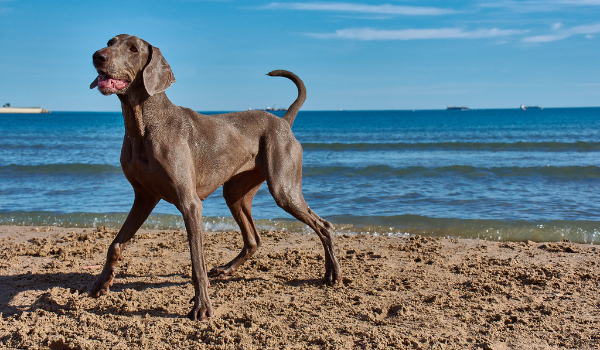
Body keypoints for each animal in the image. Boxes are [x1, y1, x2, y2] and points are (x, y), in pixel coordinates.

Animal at [89, 34, 342, 320]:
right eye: (110, 42)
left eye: (133, 49)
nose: (98, 56)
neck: (143, 124)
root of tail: (282, 121)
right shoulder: (144, 197)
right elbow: (115, 244)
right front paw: (101, 283)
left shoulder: (189, 204)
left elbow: (196, 261)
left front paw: (201, 306)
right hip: (235, 192)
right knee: (253, 239)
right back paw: (226, 269)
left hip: (283, 188)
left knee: (324, 225)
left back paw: (332, 273)